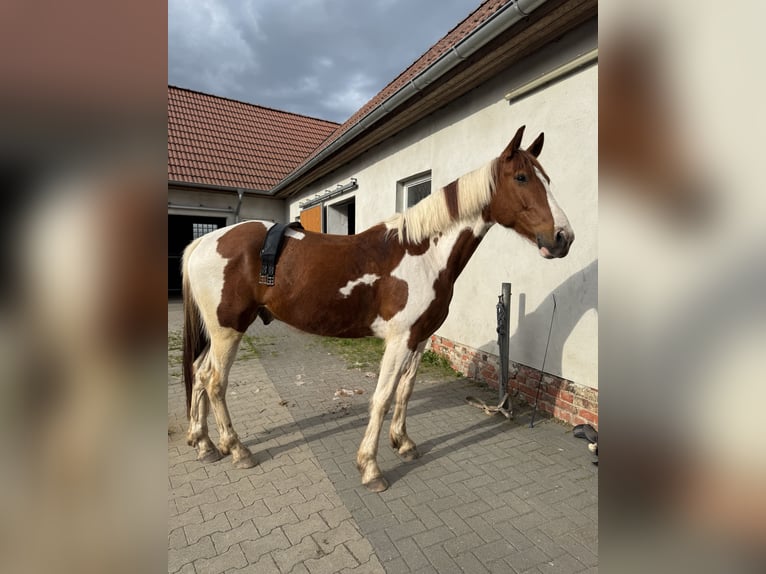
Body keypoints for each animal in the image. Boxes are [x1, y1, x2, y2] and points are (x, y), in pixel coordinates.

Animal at [181, 125, 574, 492]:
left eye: (548, 179)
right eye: (521, 177)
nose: (563, 238)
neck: (423, 253)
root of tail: (204, 242)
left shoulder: (419, 338)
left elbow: (405, 390)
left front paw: (403, 443)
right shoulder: (399, 340)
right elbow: (382, 398)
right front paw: (370, 468)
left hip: (218, 332)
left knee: (199, 374)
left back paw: (204, 444)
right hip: (228, 329)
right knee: (215, 382)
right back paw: (237, 449)